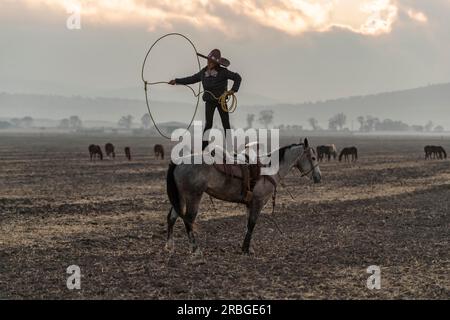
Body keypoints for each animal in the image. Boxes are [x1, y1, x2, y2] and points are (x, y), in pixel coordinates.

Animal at [165, 138, 320, 255]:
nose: (318, 177)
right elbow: (252, 223)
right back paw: (195, 249)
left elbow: (248, 225)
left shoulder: (250, 204)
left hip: (180, 197)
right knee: (188, 220)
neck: (269, 169)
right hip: (193, 197)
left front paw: (248, 247)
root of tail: (179, 161)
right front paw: (246, 249)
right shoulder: (258, 202)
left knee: (172, 217)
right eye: (313, 158)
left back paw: (169, 246)